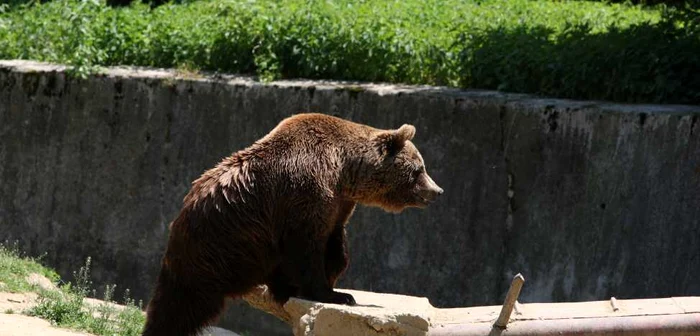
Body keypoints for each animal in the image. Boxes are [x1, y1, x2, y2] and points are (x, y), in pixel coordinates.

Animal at [142, 113, 442, 336]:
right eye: (420, 169)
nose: (436, 191)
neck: (344, 171)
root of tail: (179, 218)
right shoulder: (305, 190)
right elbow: (307, 246)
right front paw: (337, 294)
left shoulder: (338, 204)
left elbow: (335, 245)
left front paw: (329, 278)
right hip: (212, 253)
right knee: (179, 308)